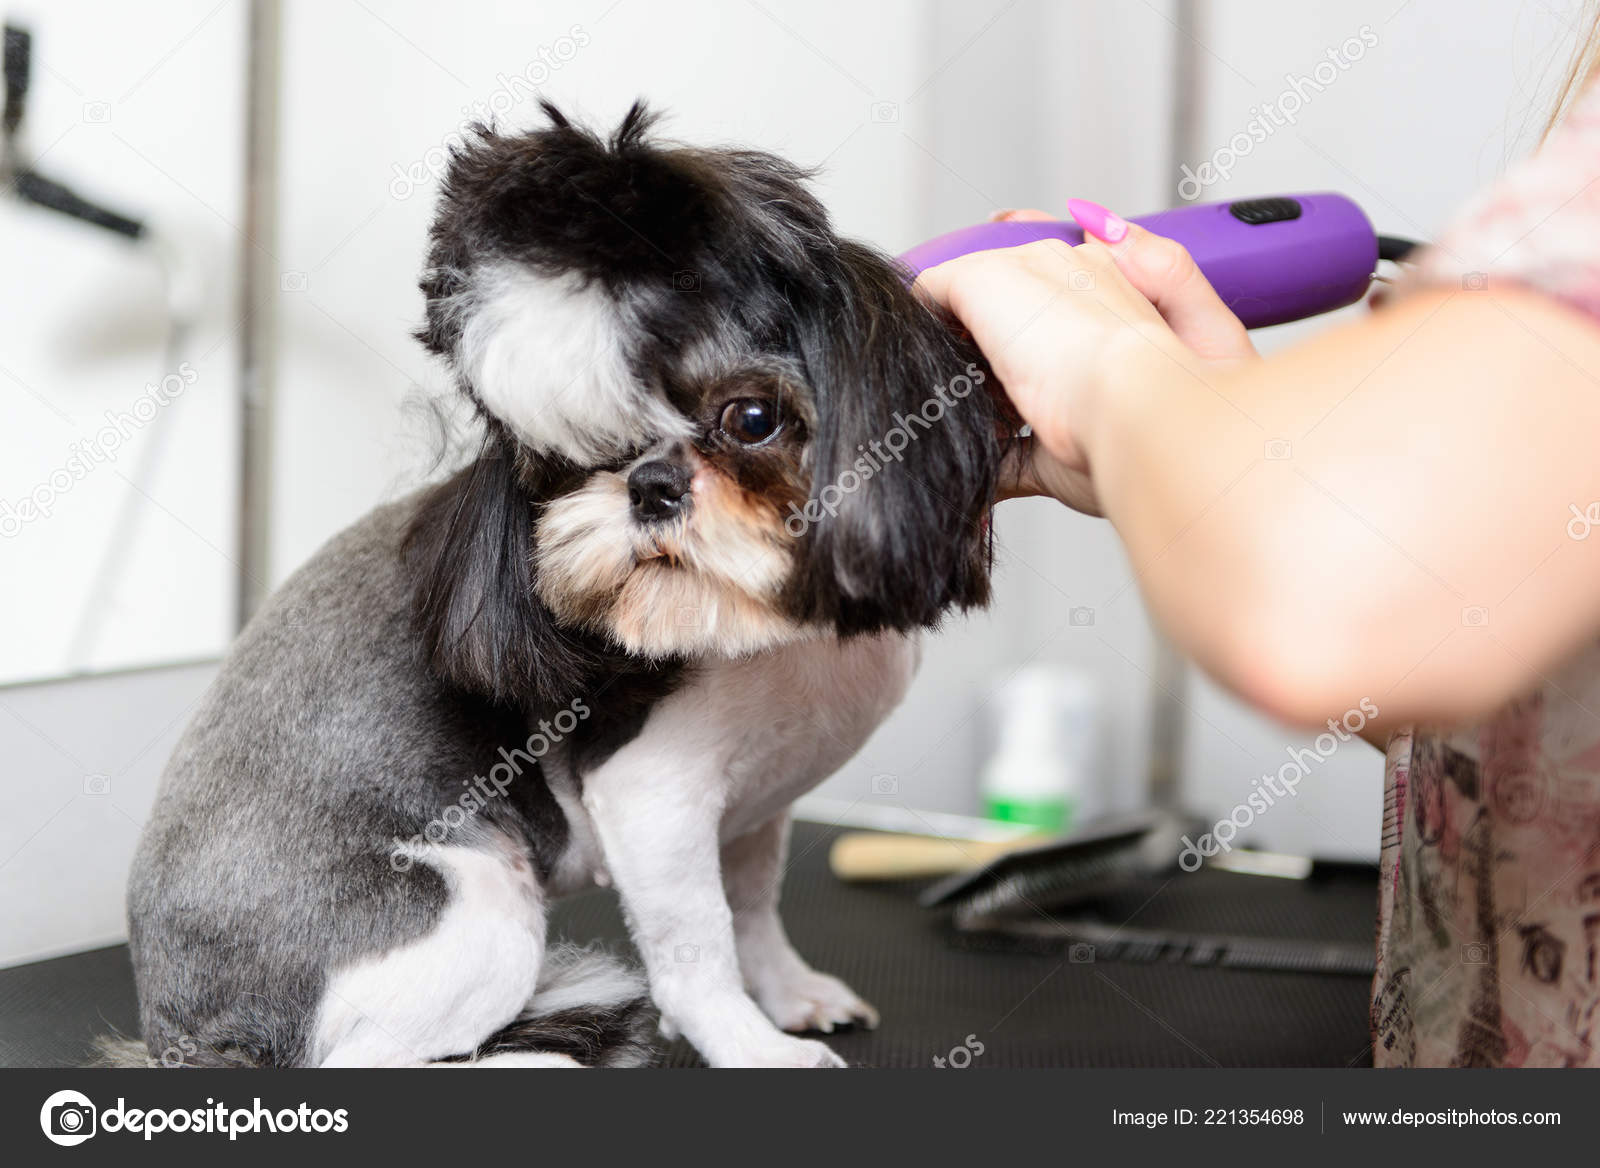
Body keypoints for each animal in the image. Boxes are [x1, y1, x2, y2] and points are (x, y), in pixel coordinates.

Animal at [112, 102, 1004, 1062]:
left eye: (753, 418)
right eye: (573, 460)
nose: (650, 485)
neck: (765, 629)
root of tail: (182, 1026)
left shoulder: (759, 804)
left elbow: (755, 909)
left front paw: (787, 992)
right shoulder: (650, 792)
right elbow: (701, 953)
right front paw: (754, 1044)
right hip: (479, 909)